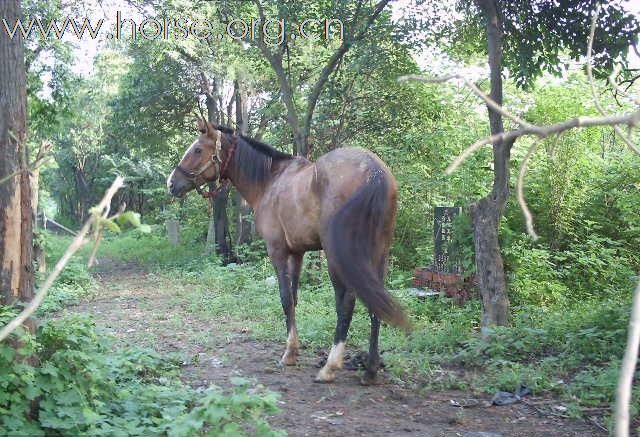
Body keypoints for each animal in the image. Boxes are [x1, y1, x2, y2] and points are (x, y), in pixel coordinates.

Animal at [168, 119, 408, 382]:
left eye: (198, 150)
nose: (171, 183)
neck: (269, 181)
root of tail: (374, 171)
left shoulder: (278, 251)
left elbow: (285, 298)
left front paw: (289, 353)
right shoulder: (298, 254)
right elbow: (294, 298)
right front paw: (294, 349)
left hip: (339, 259)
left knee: (346, 304)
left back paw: (330, 366)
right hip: (379, 254)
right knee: (375, 304)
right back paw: (371, 370)